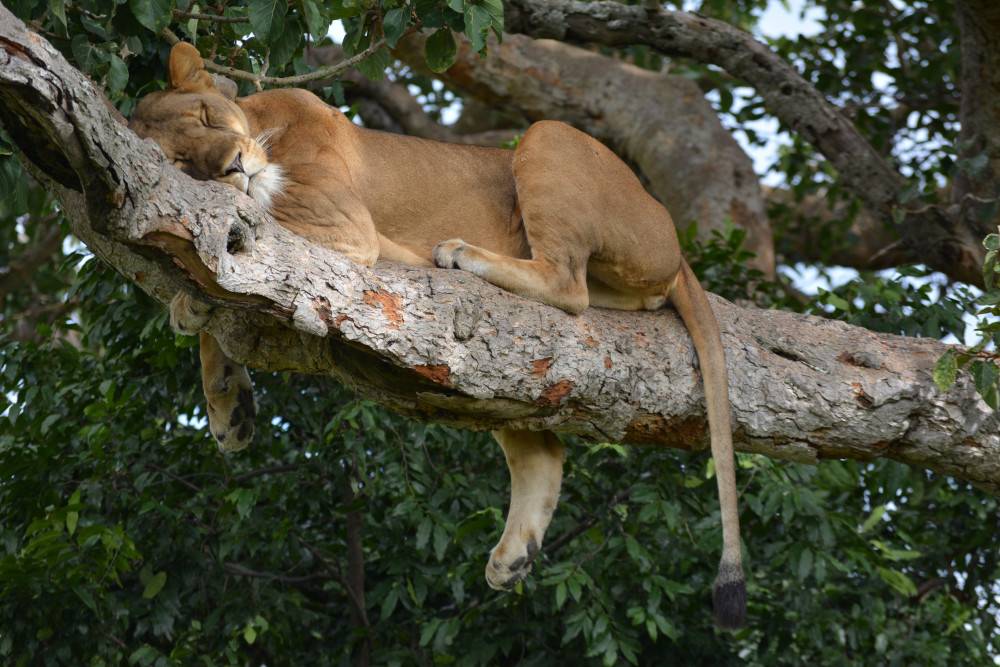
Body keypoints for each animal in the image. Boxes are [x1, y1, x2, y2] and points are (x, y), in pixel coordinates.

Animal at [128, 42, 747, 628]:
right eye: (181, 162)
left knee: (568, 285)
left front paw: (189, 305)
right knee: (544, 443)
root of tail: (676, 246)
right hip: (494, 379)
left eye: (208, 116)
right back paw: (514, 556)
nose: (234, 166)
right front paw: (228, 404)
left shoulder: (347, 227)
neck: (259, 121)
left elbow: (239, 244)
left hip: (547, 137)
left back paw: (457, 253)